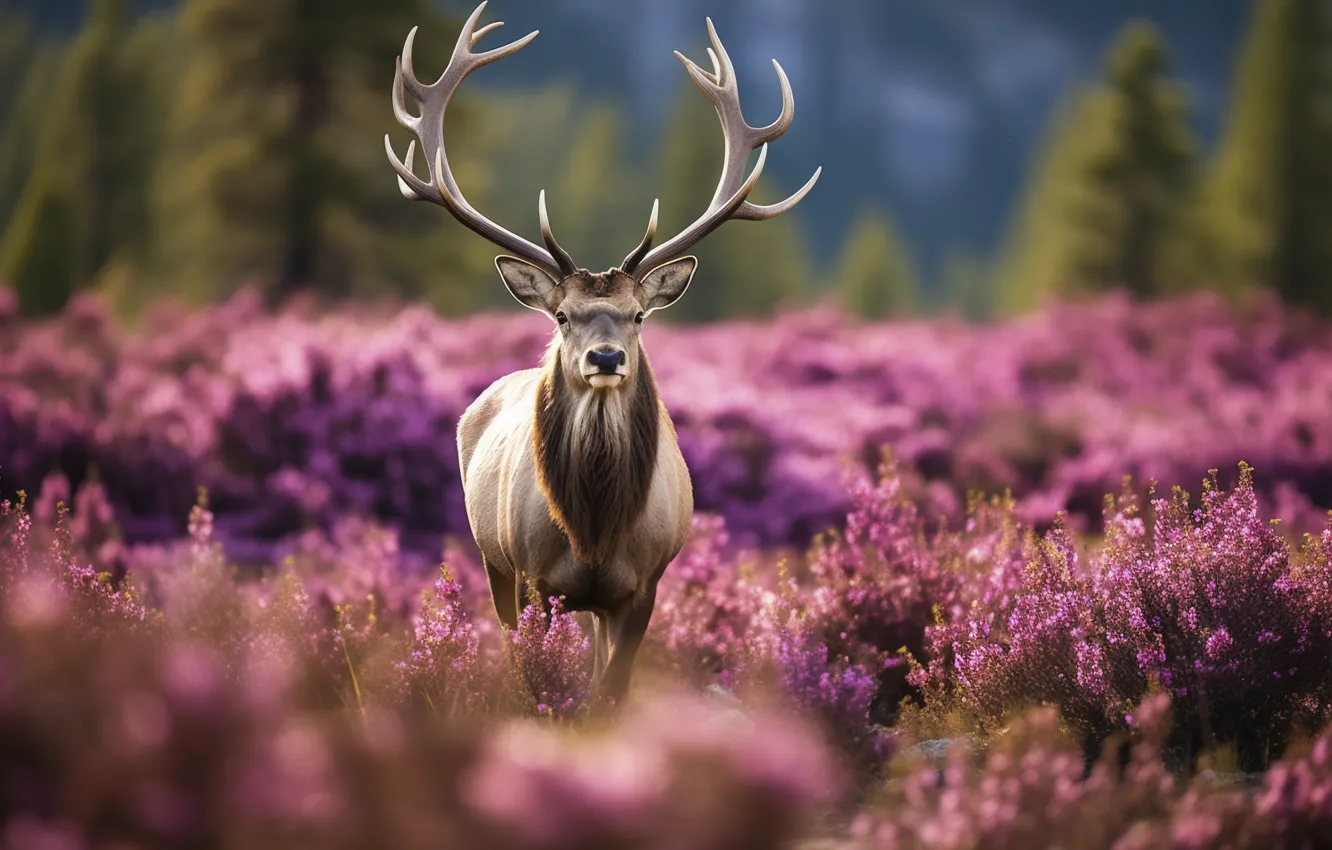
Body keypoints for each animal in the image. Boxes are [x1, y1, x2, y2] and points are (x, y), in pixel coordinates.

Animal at [385, 2, 819, 702]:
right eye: (563, 316)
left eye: (638, 315)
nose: (607, 359)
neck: (591, 532)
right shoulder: (532, 578)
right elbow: (535, 682)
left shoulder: (643, 586)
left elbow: (608, 694)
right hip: (492, 558)